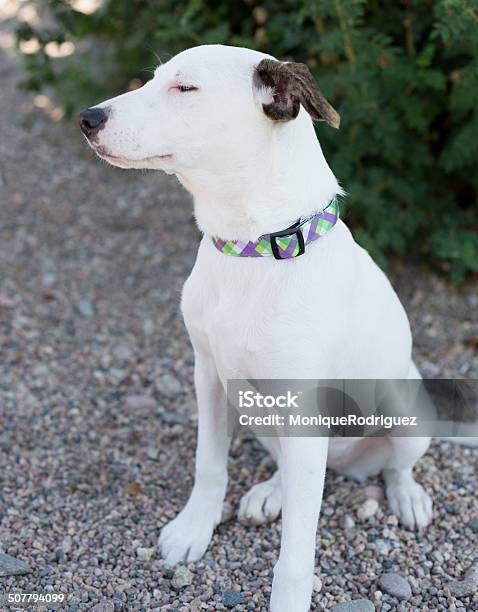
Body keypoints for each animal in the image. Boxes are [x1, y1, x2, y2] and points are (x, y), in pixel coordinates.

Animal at [80, 45, 436, 608]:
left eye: (185, 88)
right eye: (155, 79)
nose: (87, 119)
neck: (254, 249)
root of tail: (347, 463)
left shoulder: (304, 407)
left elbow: (296, 550)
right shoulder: (207, 374)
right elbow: (208, 463)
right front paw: (194, 528)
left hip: (407, 406)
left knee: (397, 466)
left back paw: (408, 497)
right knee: (289, 471)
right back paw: (271, 492)